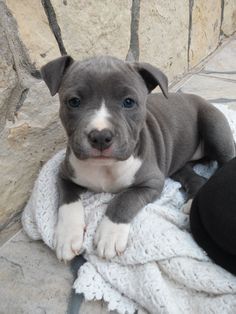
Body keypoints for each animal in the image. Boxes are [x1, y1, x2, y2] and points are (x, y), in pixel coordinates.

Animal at [40, 55, 234, 262]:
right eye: (74, 101)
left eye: (128, 102)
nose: (100, 136)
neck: (105, 167)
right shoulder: (64, 175)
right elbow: (67, 203)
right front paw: (67, 237)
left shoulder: (151, 183)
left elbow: (124, 199)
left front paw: (110, 234)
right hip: (178, 163)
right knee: (195, 177)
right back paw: (191, 202)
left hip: (214, 126)